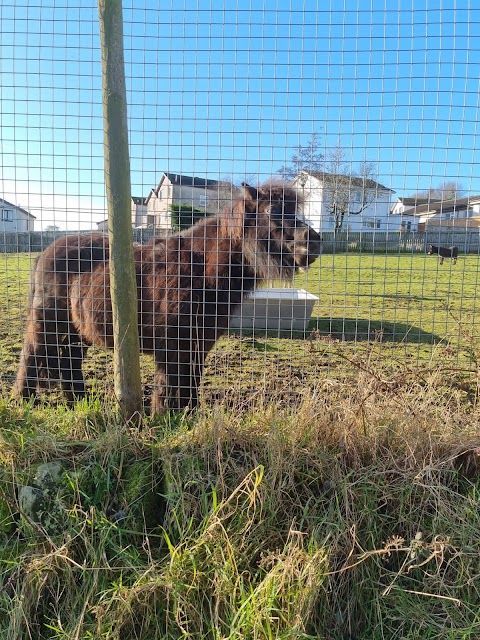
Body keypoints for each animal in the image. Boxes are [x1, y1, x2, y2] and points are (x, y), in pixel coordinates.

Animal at [14, 182, 322, 412]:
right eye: (273, 211)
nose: (313, 241)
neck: (201, 269)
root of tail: (44, 253)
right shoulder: (174, 343)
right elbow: (169, 384)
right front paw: (164, 416)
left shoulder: (199, 343)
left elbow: (191, 382)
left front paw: (189, 416)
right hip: (48, 325)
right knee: (32, 356)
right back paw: (23, 401)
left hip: (78, 331)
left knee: (68, 363)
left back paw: (78, 401)